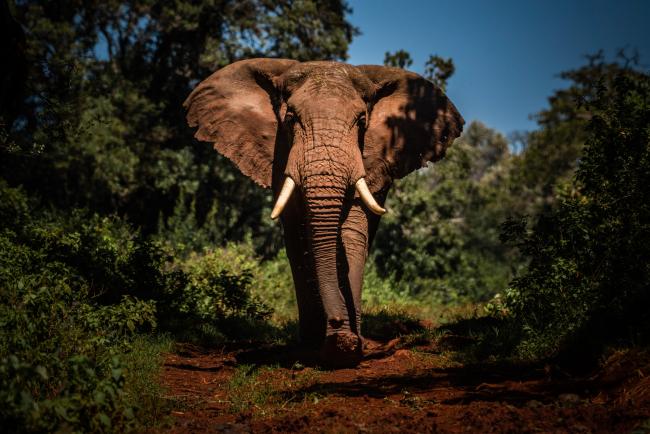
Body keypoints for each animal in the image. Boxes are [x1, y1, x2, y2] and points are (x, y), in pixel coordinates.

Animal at [184, 59, 464, 367]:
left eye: (362, 122)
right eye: (291, 119)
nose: (339, 323)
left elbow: (352, 234)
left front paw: (346, 346)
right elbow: (299, 237)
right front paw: (324, 345)